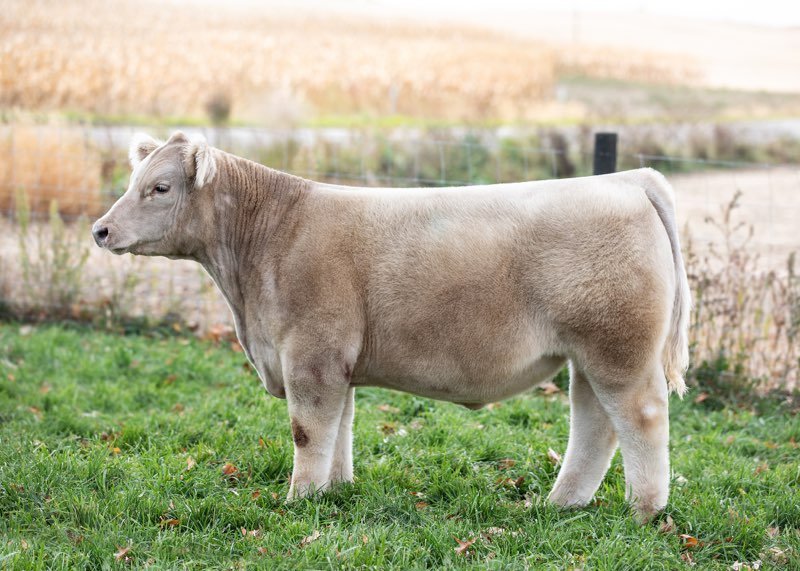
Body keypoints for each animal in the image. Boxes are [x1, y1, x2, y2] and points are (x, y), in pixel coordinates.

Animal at [92, 132, 690, 522]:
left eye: (160, 187)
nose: (100, 230)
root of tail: (628, 179)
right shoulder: (334, 363)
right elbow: (340, 428)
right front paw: (331, 493)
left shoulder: (309, 354)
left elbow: (308, 430)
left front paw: (298, 499)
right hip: (589, 355)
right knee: (595, 423)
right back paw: (560, 504)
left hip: (617, 349)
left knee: (640, 416)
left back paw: (643, 511)